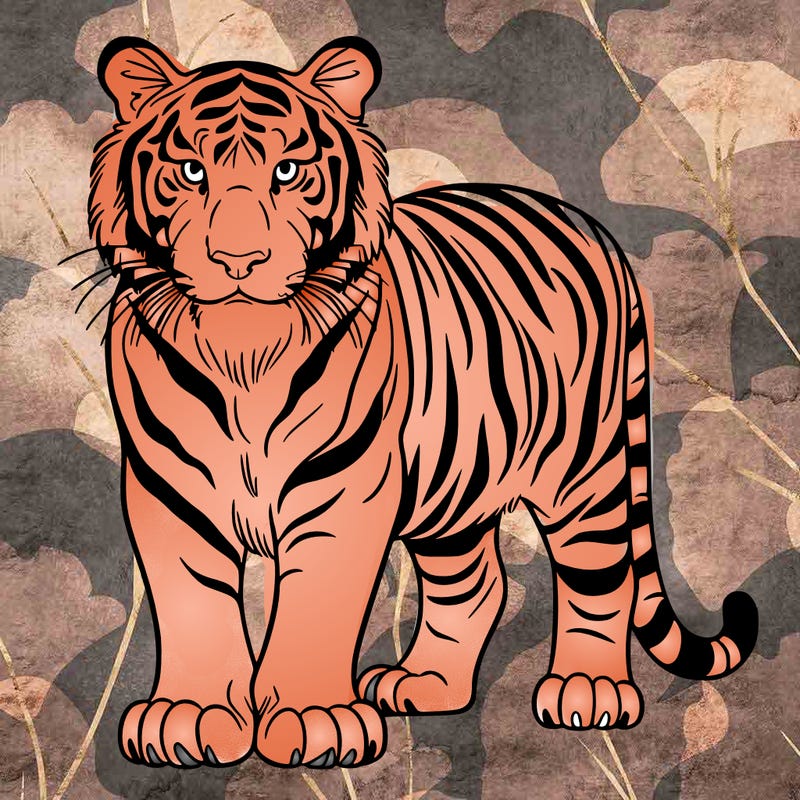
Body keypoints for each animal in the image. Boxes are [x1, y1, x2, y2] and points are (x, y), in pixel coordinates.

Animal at [88, 35, 758, 769]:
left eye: (288, 171)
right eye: (190, 171)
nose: (239, 260)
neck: (244, 358)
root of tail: (587, 224)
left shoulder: (342, 491)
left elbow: (316, 605)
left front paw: (315, 719)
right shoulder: (169, 492)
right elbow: (195, 605)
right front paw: (191, 716)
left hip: (583, 467)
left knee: (601, 576)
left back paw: (588, 690)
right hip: (457, 487)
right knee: (478, 585)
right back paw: (427, 683)